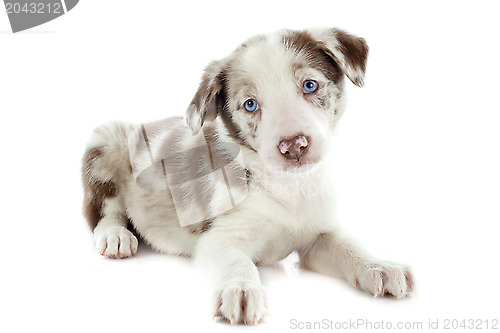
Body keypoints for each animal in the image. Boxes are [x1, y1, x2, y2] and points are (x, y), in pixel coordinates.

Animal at [80, 26, 412, 324]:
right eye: (250, 104)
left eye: (309, 86)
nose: (294, 146)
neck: (291, 186)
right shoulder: (218, 238)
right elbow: (236, 260)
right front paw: (240, 289)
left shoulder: (318, 236)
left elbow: (349, 247)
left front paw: (380, 266)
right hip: (105, 140)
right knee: (102, 211)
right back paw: (116, 236)